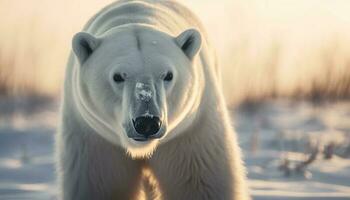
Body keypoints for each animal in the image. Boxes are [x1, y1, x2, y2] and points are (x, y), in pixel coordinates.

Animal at [56, 0, 250, 199]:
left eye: (168, 75)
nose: (147, 122)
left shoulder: (190, 133)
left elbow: (198, 184)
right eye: (117, 76)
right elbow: (102, 185)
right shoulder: (95, 139)